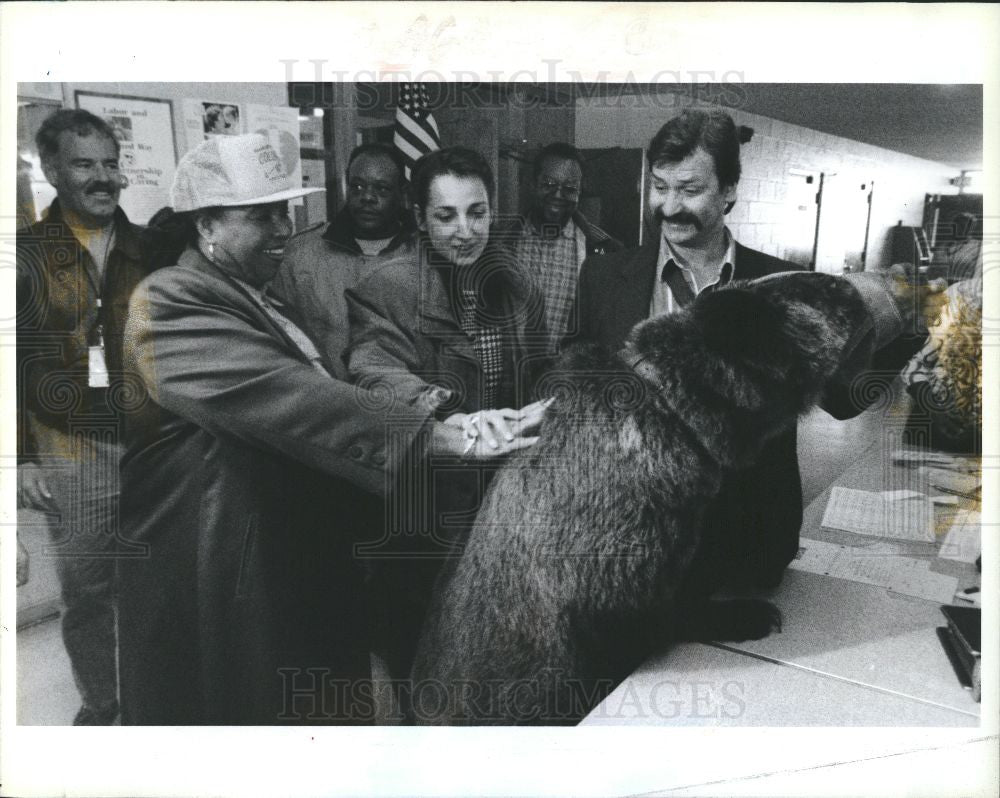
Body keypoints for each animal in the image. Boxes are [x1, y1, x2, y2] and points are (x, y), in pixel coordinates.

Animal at [410, 272, 880, 728]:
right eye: (813, 291)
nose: (853, 285)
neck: (665, 402)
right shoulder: (620, 595)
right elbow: (670, 616)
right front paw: (743, 616)